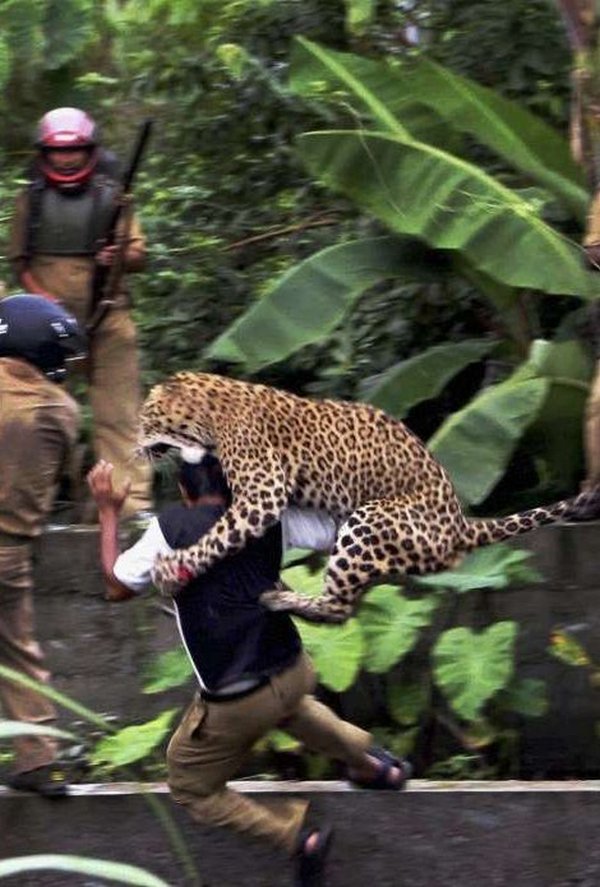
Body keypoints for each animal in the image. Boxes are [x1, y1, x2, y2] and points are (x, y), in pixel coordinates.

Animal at [139, 371, 600, 623]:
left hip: (369, 519)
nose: (136, 447)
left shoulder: (261, 494)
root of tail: (459, 524)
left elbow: (217, 535)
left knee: (339, 607)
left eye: (146, 417)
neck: (208, 413)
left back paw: (280, 597)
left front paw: (173, 568)